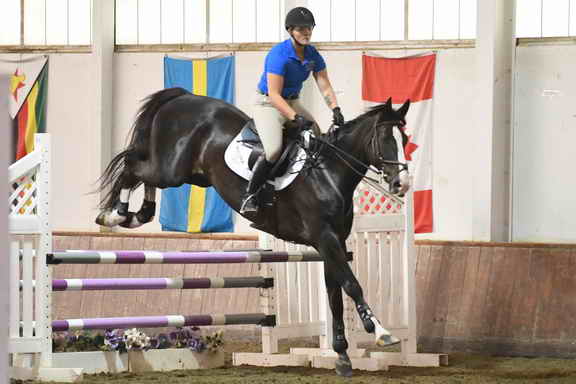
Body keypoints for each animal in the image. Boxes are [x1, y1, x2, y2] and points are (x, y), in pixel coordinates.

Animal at [95, 86, 410, 376]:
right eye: (386, 139)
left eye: (405, 140)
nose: (402, 185)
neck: (328, 173)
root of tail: (183, 96)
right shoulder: (325, 238)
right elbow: (351, 285)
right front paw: (380, 331)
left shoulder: (334, 243)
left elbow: (335, 294)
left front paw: (343, 356)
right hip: (170, 169)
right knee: (132, 166)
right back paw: (114, 214)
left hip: (193, 176)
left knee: (142, 175)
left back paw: (135, 215)